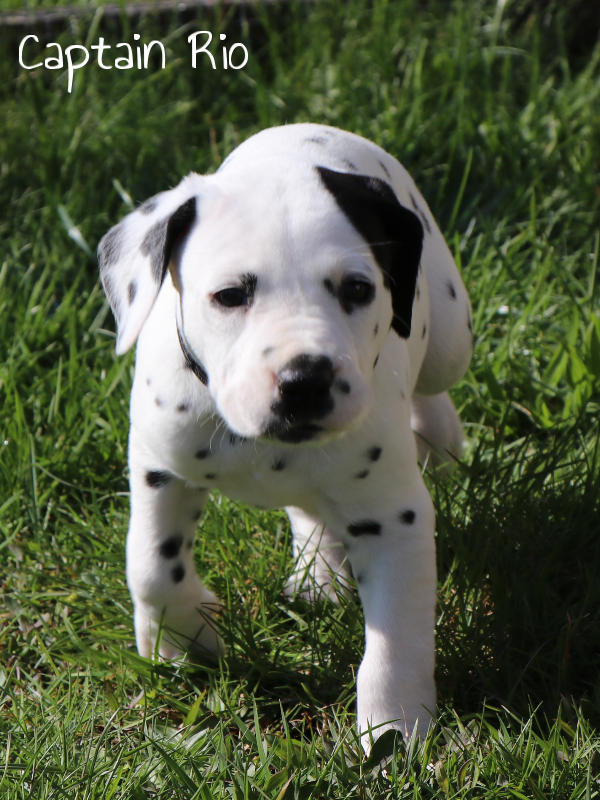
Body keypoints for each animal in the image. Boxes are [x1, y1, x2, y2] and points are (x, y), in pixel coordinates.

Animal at [98, 123, 472, 747]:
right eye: (230, 295)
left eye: (357, 290)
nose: (305, 381)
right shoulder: (159, 467)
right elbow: (151, 565)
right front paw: (182, 640)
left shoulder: (394, 519)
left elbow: (397, 636)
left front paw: (393, 729)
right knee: (308, 506)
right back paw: (318, 570)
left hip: (449, 337)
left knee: (434, 382)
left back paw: (439, 440)